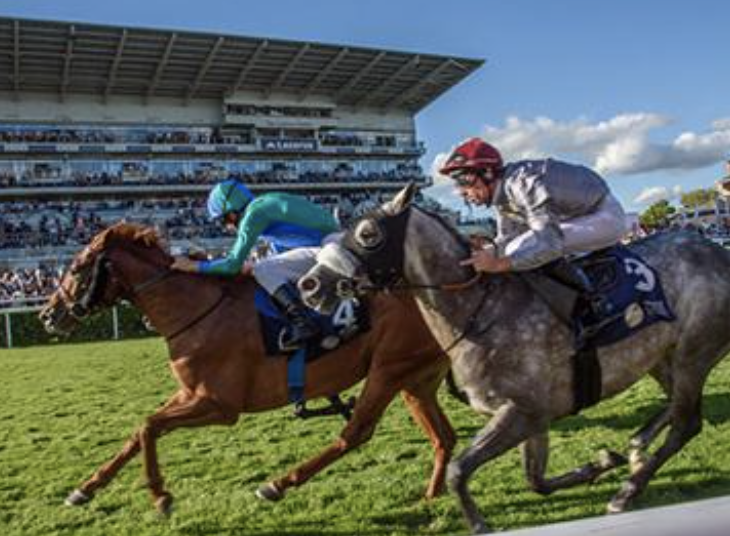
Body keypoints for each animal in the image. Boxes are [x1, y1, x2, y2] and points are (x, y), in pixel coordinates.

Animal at [38, 222, 456, 516]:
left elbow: (149, 426)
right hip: (414, 378)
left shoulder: (220, 405)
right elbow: (138, 432)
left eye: (77, 267)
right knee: (443, 438)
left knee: (355, 434)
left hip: (388, 369)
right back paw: (433, 495)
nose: (47, 315)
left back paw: (277, 484)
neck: (195, 308)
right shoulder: (189, 392)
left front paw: (159, 495)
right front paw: (84, 489)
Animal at [298, 184, 728, 532]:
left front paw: (478, 524)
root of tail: (716, 251)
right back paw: (638, 448)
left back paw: (627, 490)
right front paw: (602, 462)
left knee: (687, 423)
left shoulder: (520, 412)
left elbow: (457, 470)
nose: (309, 285)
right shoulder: (535, 417)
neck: (480, 310)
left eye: (368, 234)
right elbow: (535, 481)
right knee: (678, 410)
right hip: (662, 357)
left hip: (693, 353)